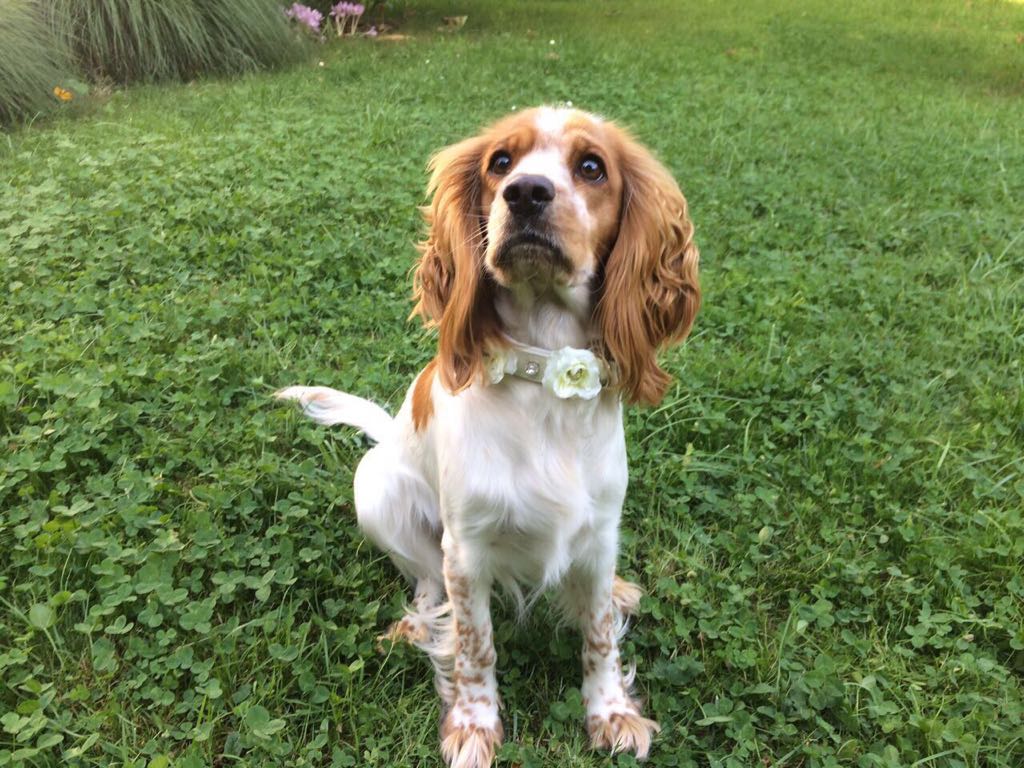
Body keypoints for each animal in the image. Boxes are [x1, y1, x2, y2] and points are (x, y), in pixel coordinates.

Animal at [276, 105, 700, 765]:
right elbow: (476, 645)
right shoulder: (467, 547)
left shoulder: (600, 528)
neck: (545, 373)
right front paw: (473, 724)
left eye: (592, 167)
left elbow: (600, 635)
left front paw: (611, 712)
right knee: (425, 580)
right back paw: (418, 622)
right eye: (500, 161)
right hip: (375, 494)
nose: (525, 192)